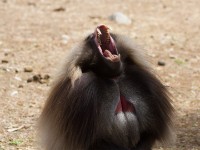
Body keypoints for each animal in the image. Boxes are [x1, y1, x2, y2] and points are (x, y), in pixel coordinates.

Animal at [39, 24, 173, 150]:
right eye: (89, 38)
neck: (114, 78)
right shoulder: (82, 94)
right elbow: (94, 142)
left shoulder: (144, 81)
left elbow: (149, 133)